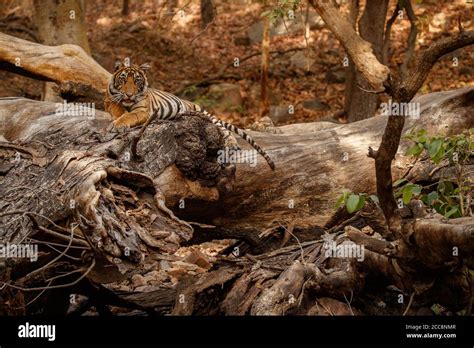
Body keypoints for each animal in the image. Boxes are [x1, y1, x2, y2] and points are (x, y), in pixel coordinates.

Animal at [103, 60, 274, 171]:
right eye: (123, 80)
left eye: (136, 81)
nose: (129, 94)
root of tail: (190, 103)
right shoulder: (110, 101)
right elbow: (118, 109)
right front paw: (116, 120)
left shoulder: (143, 110)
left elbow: (129, 116)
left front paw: (117, 125)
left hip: (206, 115)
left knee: (224, 130)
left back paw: (232, 144)